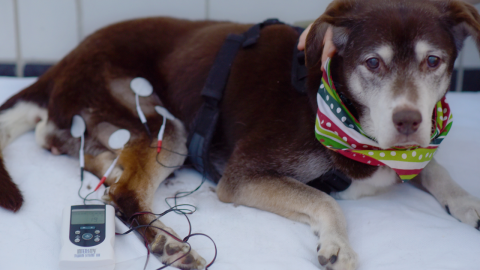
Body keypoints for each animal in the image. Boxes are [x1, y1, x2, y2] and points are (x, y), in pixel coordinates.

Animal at [0, 0, 480, 270]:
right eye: (373, 63)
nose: (408, 121)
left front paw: (467, 203)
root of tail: (64, 60)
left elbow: (435, 169)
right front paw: (338, 245)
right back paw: (170, 245)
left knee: (92, 167)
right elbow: (324, 200)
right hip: (163, 126)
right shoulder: (242, 177)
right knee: (120, 195)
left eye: (433, 61)